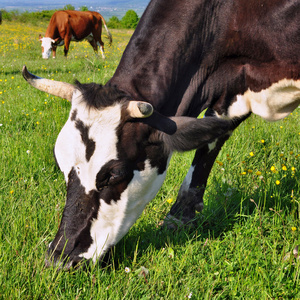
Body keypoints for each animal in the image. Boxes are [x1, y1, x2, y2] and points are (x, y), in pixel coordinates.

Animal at [22, 0, 300, 268]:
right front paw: (180, 218)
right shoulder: (231, 90)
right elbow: (211, 139)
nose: (59, 259)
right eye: (61, 164)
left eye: (114, 174)